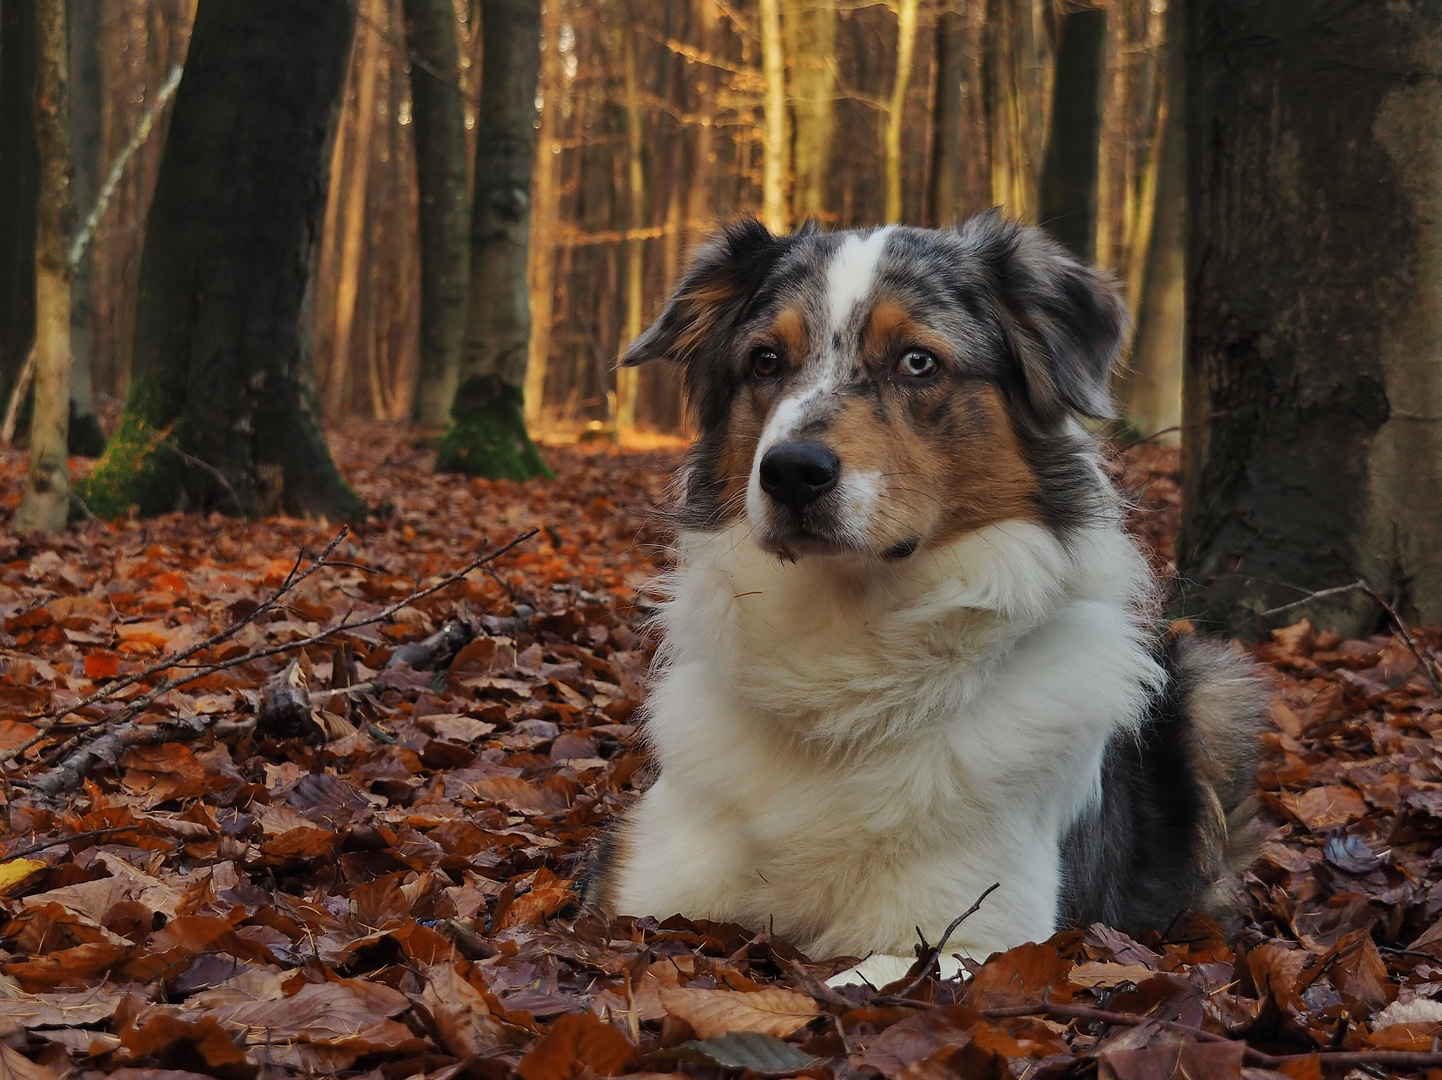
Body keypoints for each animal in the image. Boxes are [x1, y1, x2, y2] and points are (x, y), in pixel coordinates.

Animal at [582, 210, 1263, 986]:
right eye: (765, 362)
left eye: (917, 362)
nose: (790, 473)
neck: (845, 653)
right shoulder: (636, 887)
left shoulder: (979, 934)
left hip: (1214, 681)